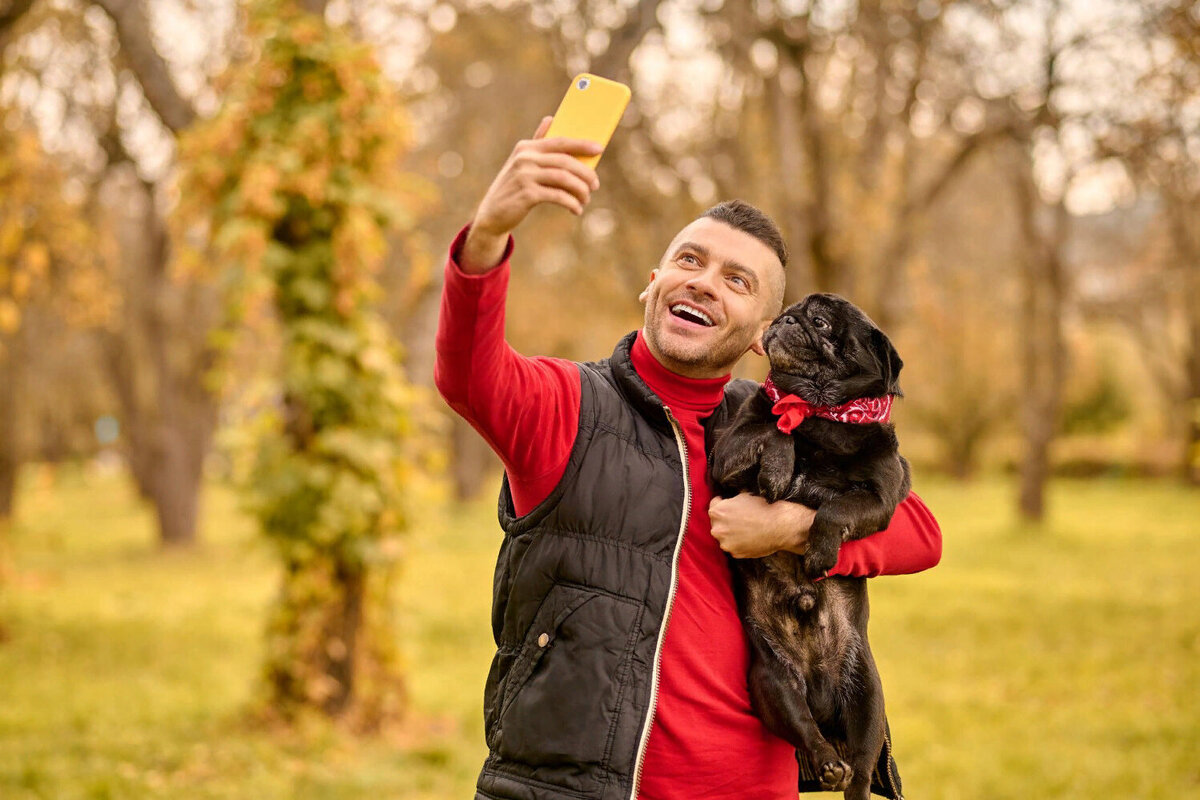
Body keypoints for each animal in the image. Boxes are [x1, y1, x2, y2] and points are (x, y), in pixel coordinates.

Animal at [710, 293, 907, 800]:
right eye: (791, 310)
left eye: (820, 322)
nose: (787, 319)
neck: (818, 413)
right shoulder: (727, 457)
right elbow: (776, 429)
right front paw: (780, 468)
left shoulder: (880, 498)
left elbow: (834, 509)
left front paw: (819, 552)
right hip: (773, 685)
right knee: (805, 729)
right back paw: (825, 760)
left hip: (868, 696)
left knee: (861, 772)